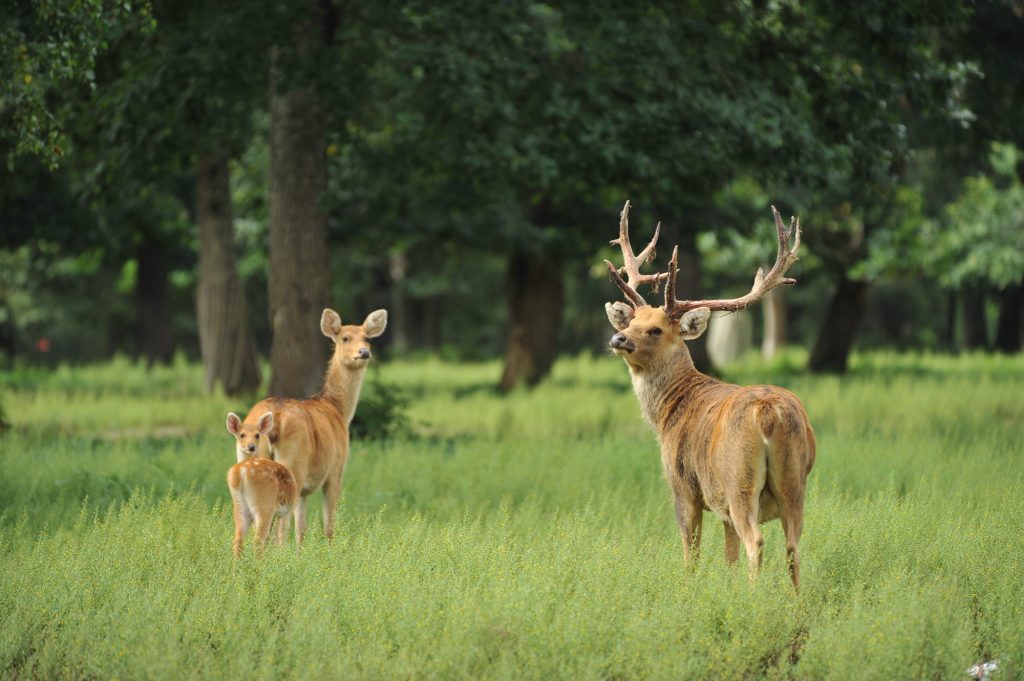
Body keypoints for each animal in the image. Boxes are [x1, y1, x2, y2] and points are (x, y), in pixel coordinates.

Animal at [226, 411, 299, 557]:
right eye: (241, 435)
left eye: (257, 435)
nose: (251, 446)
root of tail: (240, 472)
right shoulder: (286, 511)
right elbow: (281, 535)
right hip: (264, 504)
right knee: (258, 540)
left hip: (239, 505)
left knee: (238, 539)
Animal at [240, 307, 387, 548]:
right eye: (345, 338)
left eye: (367, 338)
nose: (364, 352)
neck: (337, 410)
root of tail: (275, 417)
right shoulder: (336, 471)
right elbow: (329, 526)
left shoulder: (305, 492)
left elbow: (302, 529)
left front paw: (302, 552)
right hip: (293, 466)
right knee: (280, 527)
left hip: (249, 458)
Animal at [598, 199, 815, 585]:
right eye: (633, 321)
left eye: (655, 330)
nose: (618, 338)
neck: (668, 413)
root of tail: (769, 411)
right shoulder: (722, 506)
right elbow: (728, 557)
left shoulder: (683, 486)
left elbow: (691, 554)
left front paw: (688, 588)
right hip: (794, 481)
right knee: (792, 546)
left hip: (739, 479)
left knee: (756, 542)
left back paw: (755, 595)